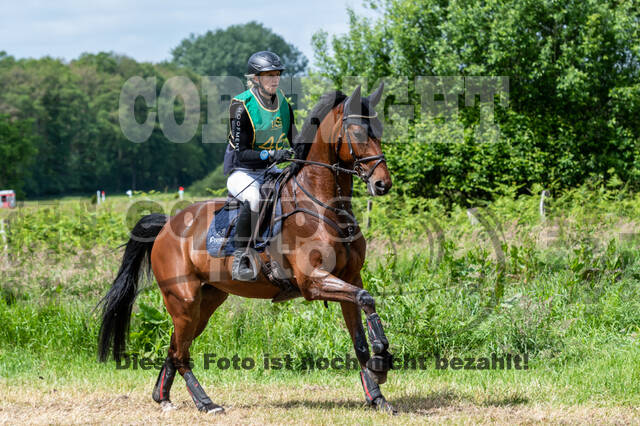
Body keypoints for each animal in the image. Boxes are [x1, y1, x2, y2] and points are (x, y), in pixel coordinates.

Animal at [97, 83, 395, 414]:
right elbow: (367, 300)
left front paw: (377, 393)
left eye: (380, 131)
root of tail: (165, 227)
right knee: (181, 354)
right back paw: (206, 402)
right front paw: (382, 360)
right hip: (184, 299)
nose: (383, 184)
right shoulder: (313, 281)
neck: (323, 207)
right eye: (357, 132)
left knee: (175, 346)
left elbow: (360, 333)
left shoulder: (349, 278)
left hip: (206, 301)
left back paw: (162, 396)